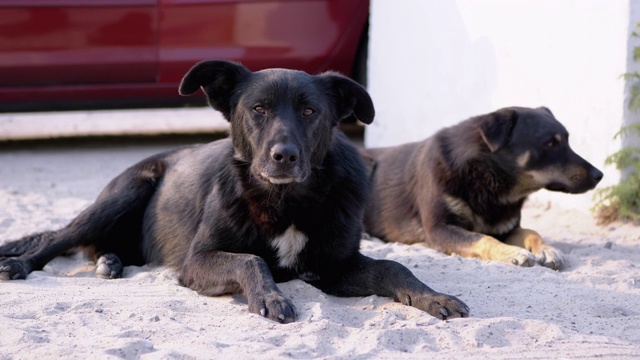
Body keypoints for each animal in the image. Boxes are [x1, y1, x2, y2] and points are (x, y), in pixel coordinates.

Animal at [1, 60, 470, 322]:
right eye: (257, 109)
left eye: (310, 111)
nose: (285, 157)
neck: (287, 202)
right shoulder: (197, 261)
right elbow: (251, 260)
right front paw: (270, 297)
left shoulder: (334, 267)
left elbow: (394, 267)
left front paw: (433, 297)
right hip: (126, 191)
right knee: (59, 238)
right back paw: (22, 264)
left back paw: (111, 262)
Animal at [362, 107, 604, 270]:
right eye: (551, 143)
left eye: (567, 141)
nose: (599, 175)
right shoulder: (440, 228)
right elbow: (483, 238)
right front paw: (511, 252)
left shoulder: (506, 227)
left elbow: (531, 231)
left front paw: (547, 249)